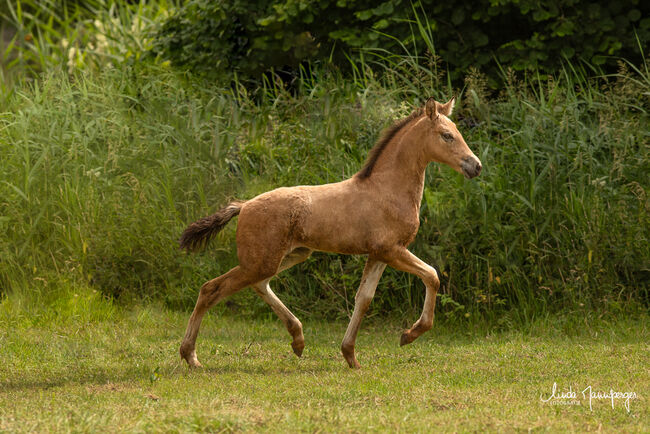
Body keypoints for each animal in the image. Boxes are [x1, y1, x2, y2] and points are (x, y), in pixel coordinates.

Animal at [177, 96, 480, 368]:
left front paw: (350, 356)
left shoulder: (378, 255)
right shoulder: (392, 250)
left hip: (290, 255)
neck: (387, 190)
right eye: (447, 136)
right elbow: (432, 276)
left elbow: (364, 299)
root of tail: (243, 205)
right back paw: (191, 357)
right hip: (261, 261)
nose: (475, 165)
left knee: (258, 285)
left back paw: (298, 341)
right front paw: (409, 335)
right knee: (211, 289)